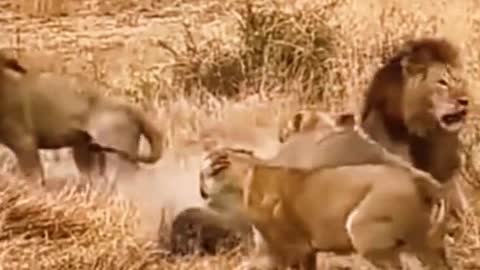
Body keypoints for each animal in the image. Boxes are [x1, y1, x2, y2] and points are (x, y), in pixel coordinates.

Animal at [0, 52, 164, 188]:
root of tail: (133, 108)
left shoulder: (24, 142)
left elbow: (33, 175)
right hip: (86, 147)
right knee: (94, 175)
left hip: (116, 152)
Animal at [199, 148, 450, 270]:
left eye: (203, 175)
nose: (201, 191)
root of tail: (422, 181)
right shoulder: (303, 252)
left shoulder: (283, 252)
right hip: (427, 248)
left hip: (363, 233)